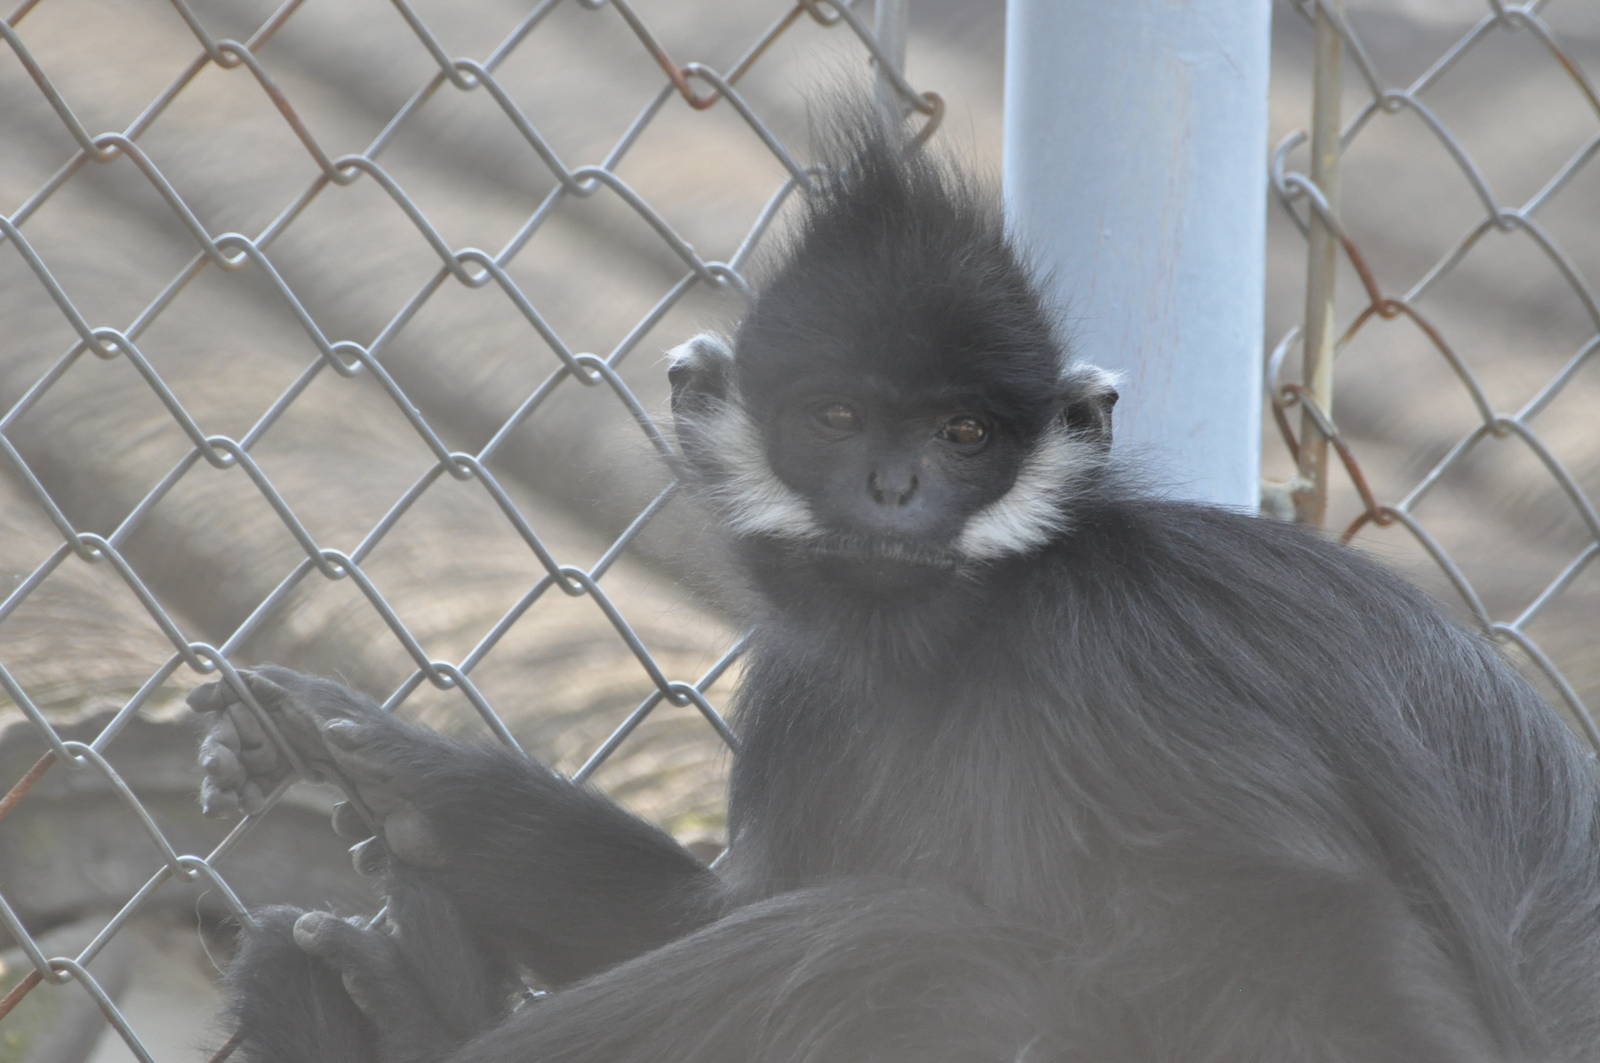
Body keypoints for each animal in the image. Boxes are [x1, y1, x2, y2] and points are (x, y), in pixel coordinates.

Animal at [189, 107, 1600, 1062]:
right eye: (838, 415)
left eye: (965, 433)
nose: (895, 491)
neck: (967, 640)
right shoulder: (809, 678)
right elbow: (712, 906)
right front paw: (391, 771)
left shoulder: (1119, 666)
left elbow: (1335, 952)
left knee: (910, 948)